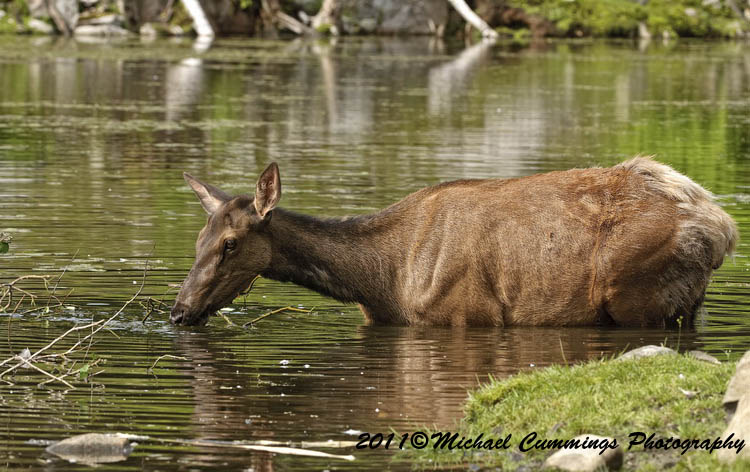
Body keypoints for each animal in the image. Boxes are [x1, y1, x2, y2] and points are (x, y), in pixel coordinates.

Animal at [170, 158, 738, 328]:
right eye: (199, 237)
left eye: (230, 243)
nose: (178, 311)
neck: (381, 283)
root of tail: (722, 227)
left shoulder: (464, 315)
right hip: (688, 300)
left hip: (636, 296)